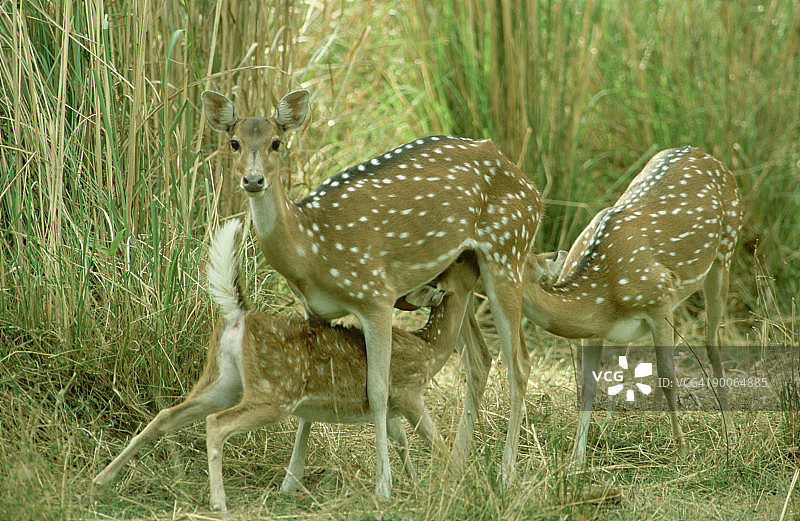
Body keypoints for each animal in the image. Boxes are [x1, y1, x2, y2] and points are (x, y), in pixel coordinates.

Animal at [93, 219, 482, 513]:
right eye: (459, 264)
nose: (472, 252)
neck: (429, 350)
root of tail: (240, 316)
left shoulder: (390, 408)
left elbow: (400, 442)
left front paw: (415, 486)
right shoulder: (408, 391)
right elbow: (435, 441)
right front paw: (457, 484)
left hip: (221, 380)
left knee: (166, 415)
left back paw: (101, 480)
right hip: (274, 392)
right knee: (216, 424)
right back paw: (219, 503)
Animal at [200, 88, 541, 496]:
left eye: (276, 143)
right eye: (234, 142)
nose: (253, 180)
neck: (312, 249)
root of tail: (532, 187)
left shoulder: (375, 294)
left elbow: (377, 392)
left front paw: (384, 485)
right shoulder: (314, 311)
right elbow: (318, 383)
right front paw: (290, 481)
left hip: (508, 250)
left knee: (519, 362)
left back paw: (506, 474)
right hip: (461, 269)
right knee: (480, 358)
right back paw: (460, 464)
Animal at [519, 146, 741, 465]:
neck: (603, 290)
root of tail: (703, 152)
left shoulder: (660, 298)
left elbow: (667, 375)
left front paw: (682, 450)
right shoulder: (595, 332)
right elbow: (587, 386)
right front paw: (577, 459)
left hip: (725, 250)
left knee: (712, 340)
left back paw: (730, 435)